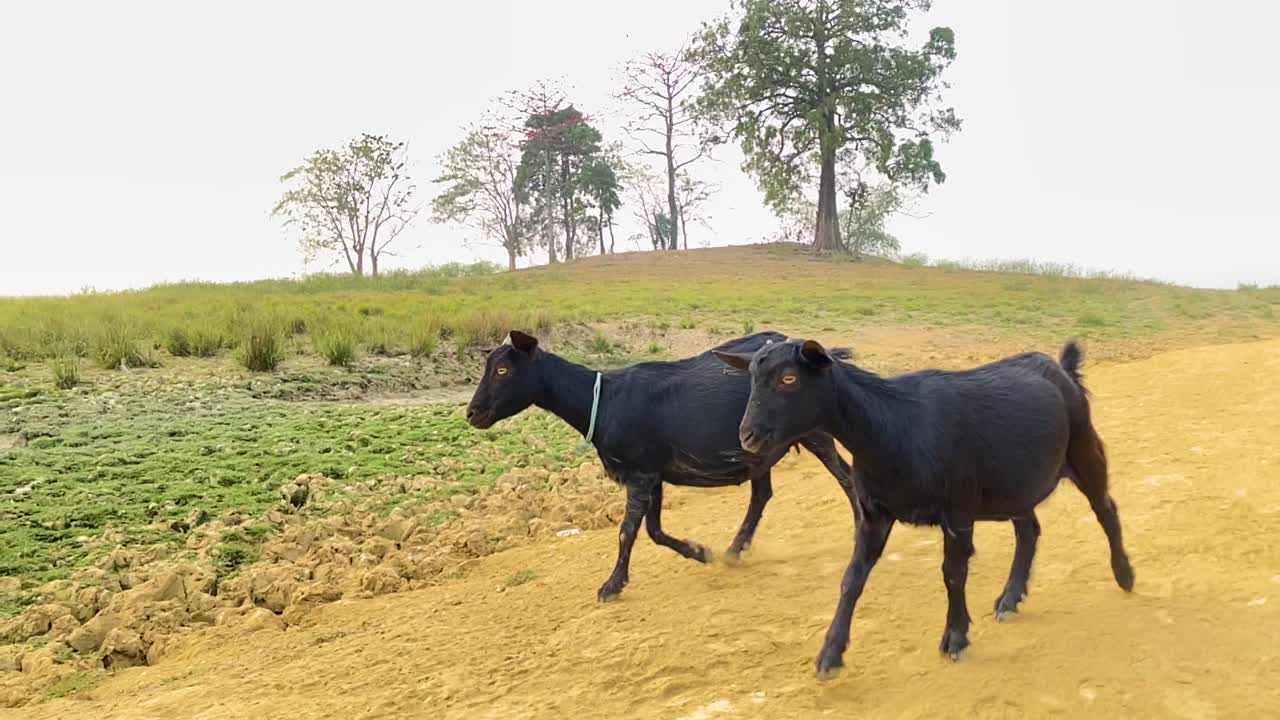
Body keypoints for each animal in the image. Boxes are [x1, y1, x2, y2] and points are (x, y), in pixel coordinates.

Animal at [467, 330, 856, 602]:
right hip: (759, 451)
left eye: (502, 369)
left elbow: (627, 531)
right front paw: (699, 552)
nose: (472, 413)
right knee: (762, 493)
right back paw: (734, 550)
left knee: (847, 477)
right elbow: (653, 530)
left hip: (816, 433)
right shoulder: (651, 474)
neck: (603, 401)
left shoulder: (639, 473)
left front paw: (611, 586)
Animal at [715, 339, 1134, 678]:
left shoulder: (959, 509)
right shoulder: (874, 514)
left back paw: (1124, 575)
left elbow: (953, 573)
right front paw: (830, 655)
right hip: (1012, 486)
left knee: (1106, 508)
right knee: (1029, 529)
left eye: (789, 378)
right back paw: (1010, 598)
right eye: (751, 379)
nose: (748, 436)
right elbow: (852, 579)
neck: (894, 428)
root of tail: (1061, 368)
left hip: (1083, 449)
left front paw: (955, 637)